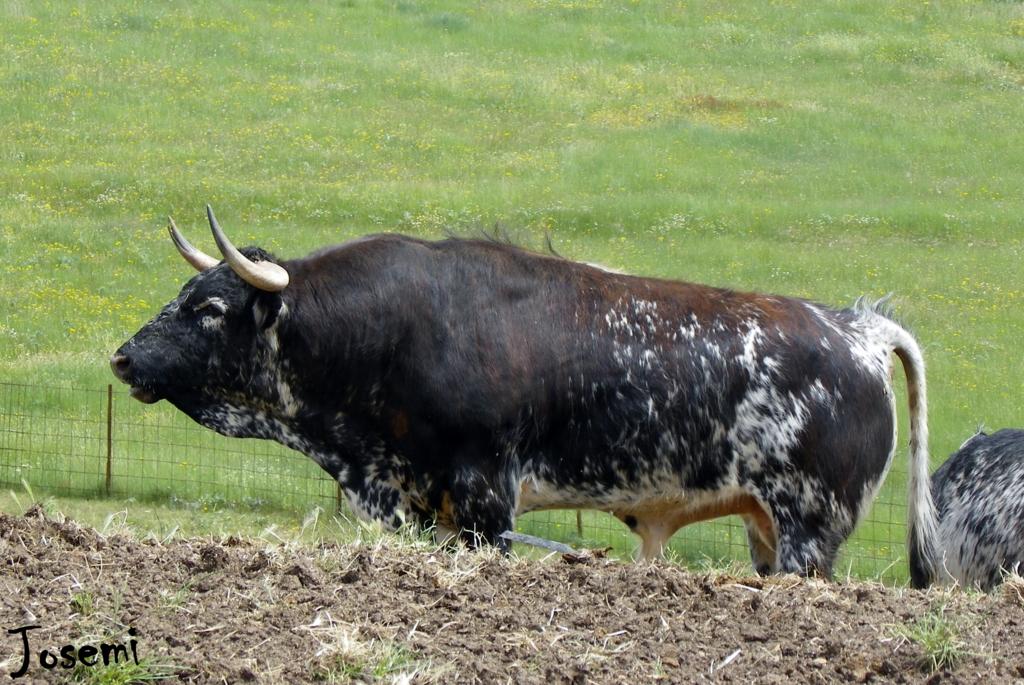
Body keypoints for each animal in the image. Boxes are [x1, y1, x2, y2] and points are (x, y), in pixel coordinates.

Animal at [111, 206, 940, 578]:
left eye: (209, 308)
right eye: (184, 293)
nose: (122, 357)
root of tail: (858, 328)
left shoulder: (487, 501)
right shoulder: (429, 505)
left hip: (810, 534)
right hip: (765, 530)